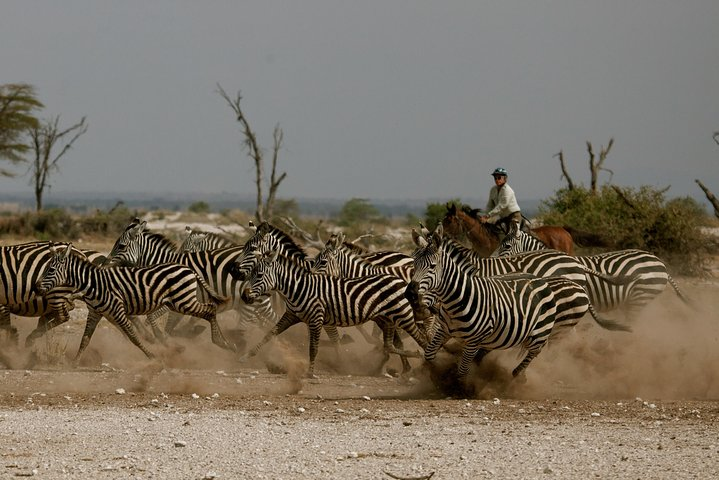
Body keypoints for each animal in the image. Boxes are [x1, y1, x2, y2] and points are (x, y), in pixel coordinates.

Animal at [34, 244, 231, 360]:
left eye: (50, 270)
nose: (35, 287)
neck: (93, 284)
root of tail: (189, 268)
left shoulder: (117, 311)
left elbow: (133, 336)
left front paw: (151, 356)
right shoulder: (95, 313)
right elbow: (85, 339)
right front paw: (74, 362)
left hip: (184, 301)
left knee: (210, 310)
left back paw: (223, 343)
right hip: (179, 302)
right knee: (210, 309)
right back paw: (225, 343)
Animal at [239, 249, 430, 376]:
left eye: (259, 275)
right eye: (251, 274)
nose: (244, 296)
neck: (298, 289)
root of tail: (400, 279)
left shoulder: (316, 319)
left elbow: (313, 347)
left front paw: (310, 373)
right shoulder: (291, 316)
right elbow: (270, 333)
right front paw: (247, 354)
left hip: (402, 315)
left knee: (420, 338)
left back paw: (425, 363)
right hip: (385, 318)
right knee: (390, 345)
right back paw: (413, 358)